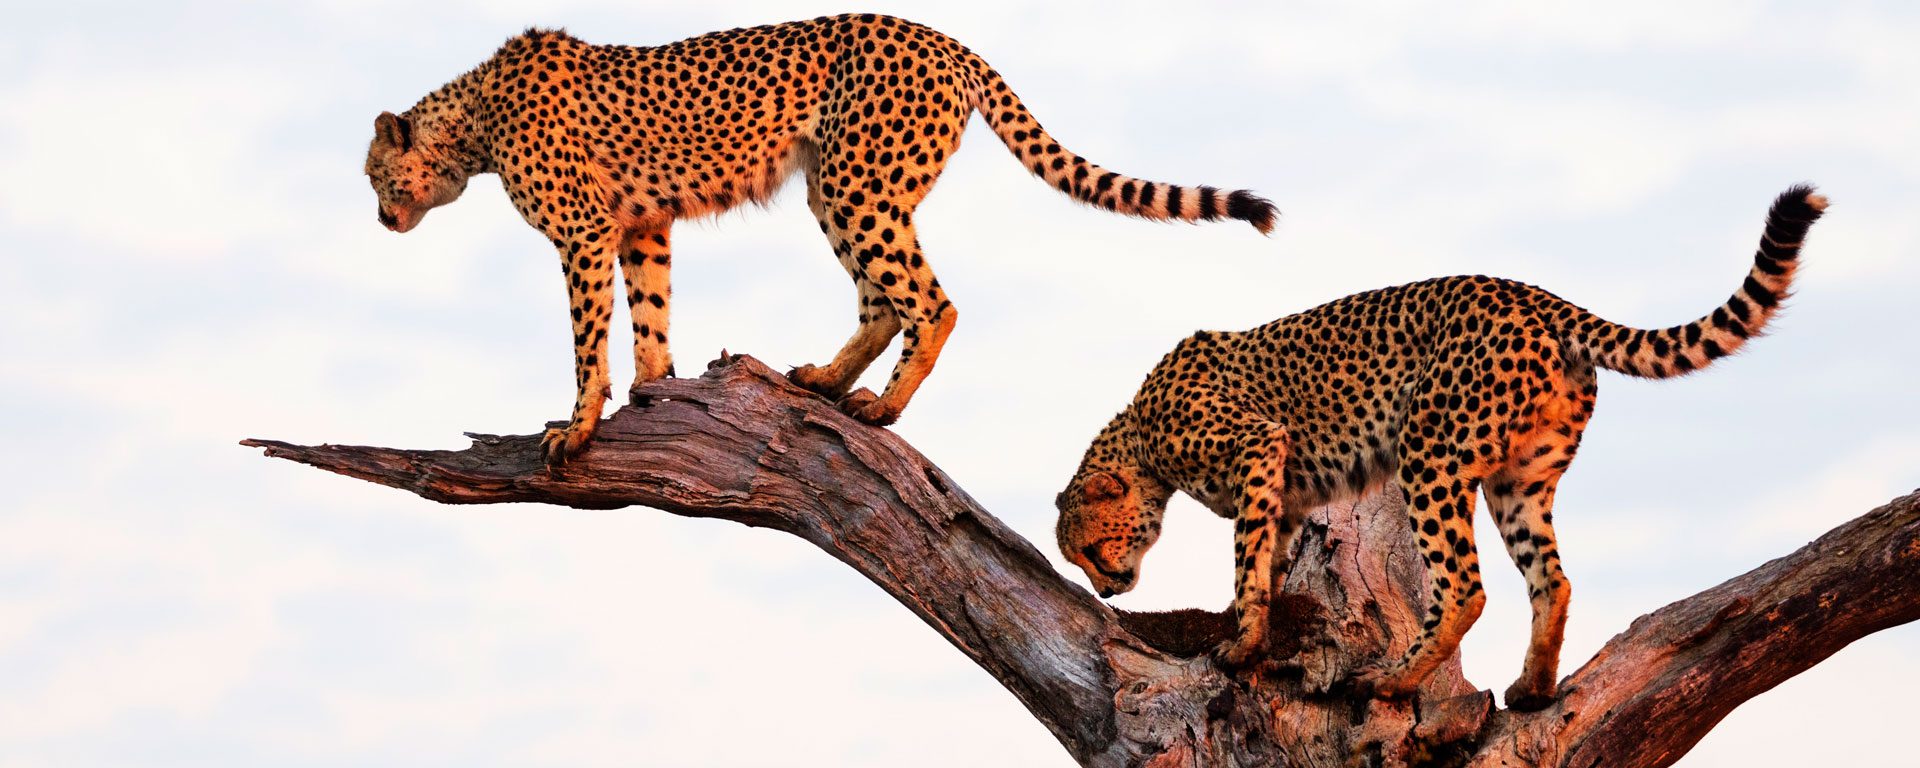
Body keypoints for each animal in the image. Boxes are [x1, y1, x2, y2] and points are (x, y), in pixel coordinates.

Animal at [360, 15, 1274, 464]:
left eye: (373, 175)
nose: (377, 218)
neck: (473, 119)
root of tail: (945, 37)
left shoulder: (583, 233)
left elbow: (588, 342)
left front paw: (578, 427)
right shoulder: (641, 223)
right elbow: (650, 312)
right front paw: (654, 393)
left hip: (855, 180)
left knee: (930, 301)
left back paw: (882, 406)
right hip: (836, 184)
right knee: (884, 300)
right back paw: (829, 380)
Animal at [1059, 184, 1820, 706]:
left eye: (1089, 548)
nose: (1108, 587)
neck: (1139, 434)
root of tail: (1539, 295)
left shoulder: (1258, 445)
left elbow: (1248, 564)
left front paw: (1241, 644)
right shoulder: (1282, 490)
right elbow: (1268, 561)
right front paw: (1257, 638)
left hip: (1429, 451)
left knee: (1463, 586)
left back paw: (1393, 682)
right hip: (1520, 478)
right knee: (1552, 577)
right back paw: (1533, 688)